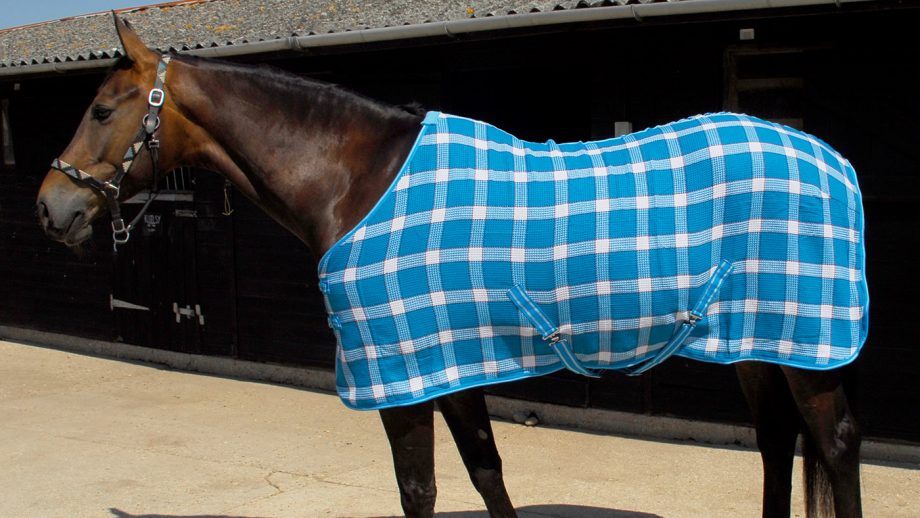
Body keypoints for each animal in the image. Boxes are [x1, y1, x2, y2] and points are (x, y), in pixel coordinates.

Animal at [35, 16, 863, 518]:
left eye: (103, 109)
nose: (51, 209)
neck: (357, 182)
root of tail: (829, 156)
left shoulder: (403, 378)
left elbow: (420, 489)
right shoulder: (450, 366)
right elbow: (486, 472)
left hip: (810, 351)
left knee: (835, 445)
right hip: (758, 343)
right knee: (777, 443)